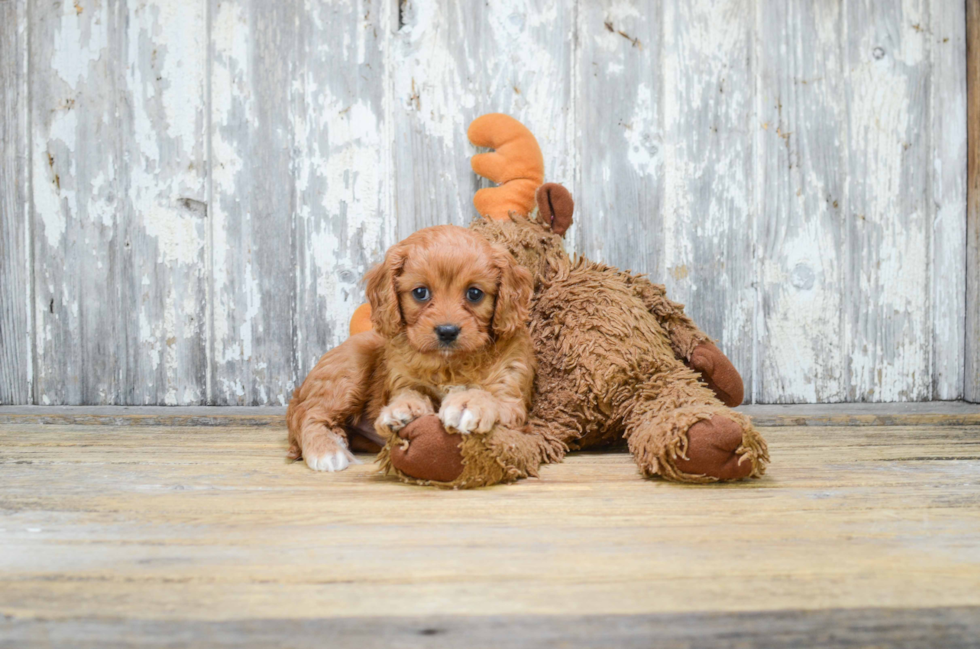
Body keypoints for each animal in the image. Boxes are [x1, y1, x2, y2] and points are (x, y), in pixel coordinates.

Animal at [288, 225, 532, 474]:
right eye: (420, 292)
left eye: (474, 293)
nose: (447, 331)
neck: (449, 364)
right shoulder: (402, 380)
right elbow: (410, 392)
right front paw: (402, 408)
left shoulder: (512, 398)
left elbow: (491, 397)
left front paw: (467, 403)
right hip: (349, 369)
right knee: (307, 413)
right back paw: (327, 450)